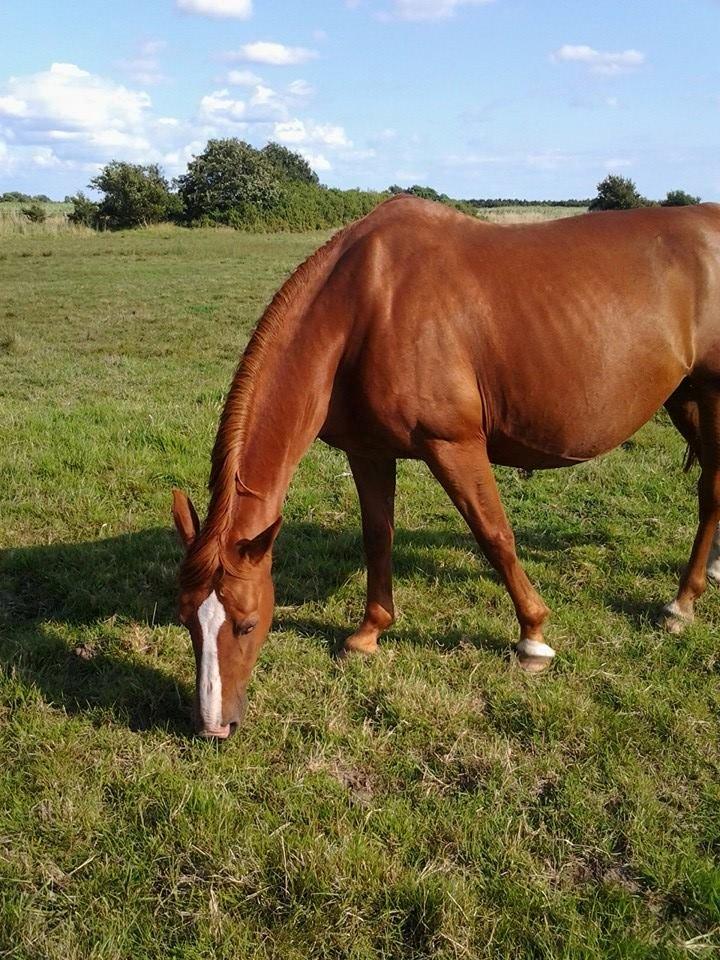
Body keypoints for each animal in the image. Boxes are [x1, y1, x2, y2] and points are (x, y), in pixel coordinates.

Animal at [173, 193, 720, 736]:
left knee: (710, 492)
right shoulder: (369, 451)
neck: (366, 306)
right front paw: (368, 633)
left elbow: (494, 535)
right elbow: (378, 536)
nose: (213, 726)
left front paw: (533, 637)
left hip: (710, 394)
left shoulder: (453, 445)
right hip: (685, 398)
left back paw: (681, 603)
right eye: (186, 619)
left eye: (246, 623)